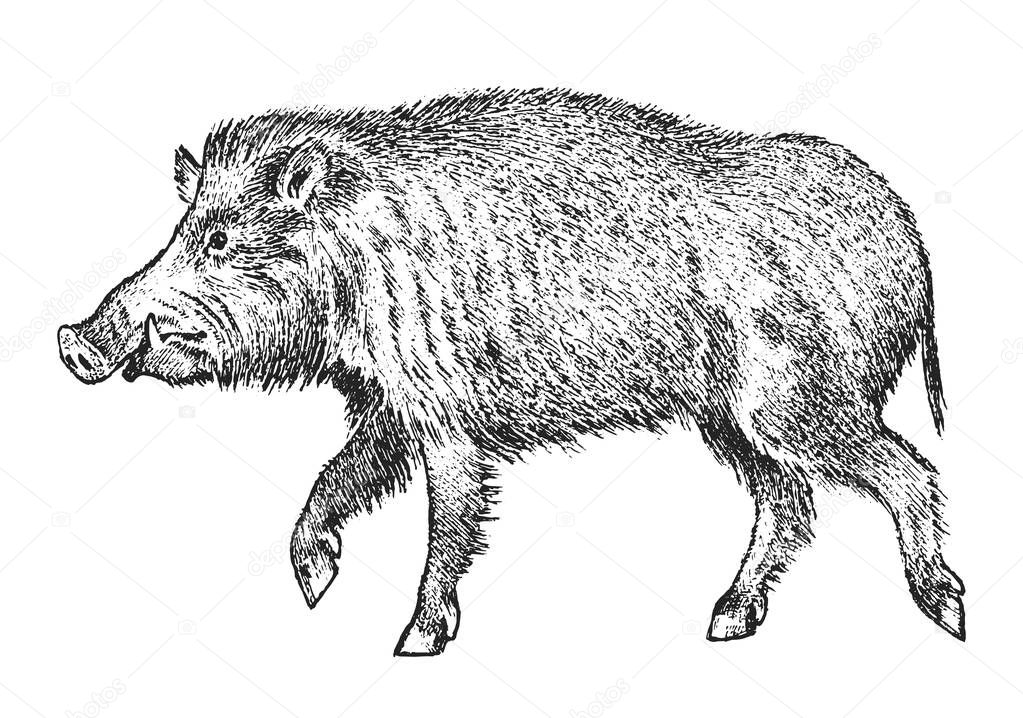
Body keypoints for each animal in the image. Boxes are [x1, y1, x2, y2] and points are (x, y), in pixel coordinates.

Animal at [58, 88, 964, 655]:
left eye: (218, 241)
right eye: (182, 230)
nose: (73, 341)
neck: (358, 263)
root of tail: (907, 239)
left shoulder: (447, 417)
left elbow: (449, 518)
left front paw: (414, 642)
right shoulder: (389, 406)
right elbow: (335, 477)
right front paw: (315, 587)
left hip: (793, 399)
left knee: (906, 469)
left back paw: (947, 612)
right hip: (728, 419)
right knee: (789, 501)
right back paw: (725, 622)